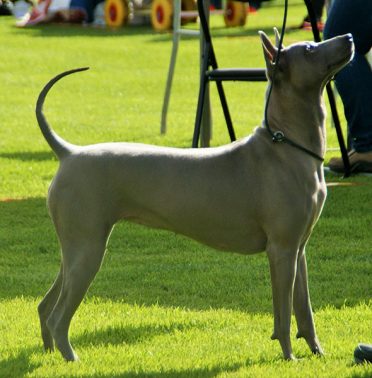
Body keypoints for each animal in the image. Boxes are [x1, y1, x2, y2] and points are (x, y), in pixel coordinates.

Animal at [36, 31, 354, 360]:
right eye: (309, 49)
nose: (348, 36)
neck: (284, 144)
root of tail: (69, 153)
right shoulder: (281, 250)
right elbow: (283, 314)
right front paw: (289, 357)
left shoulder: (298, 250)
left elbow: (305, 310)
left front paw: (318, 353)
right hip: (88, 249)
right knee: (58, 315)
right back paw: (71, 358)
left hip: (77, 248)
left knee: (45, 305)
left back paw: (49, 354)